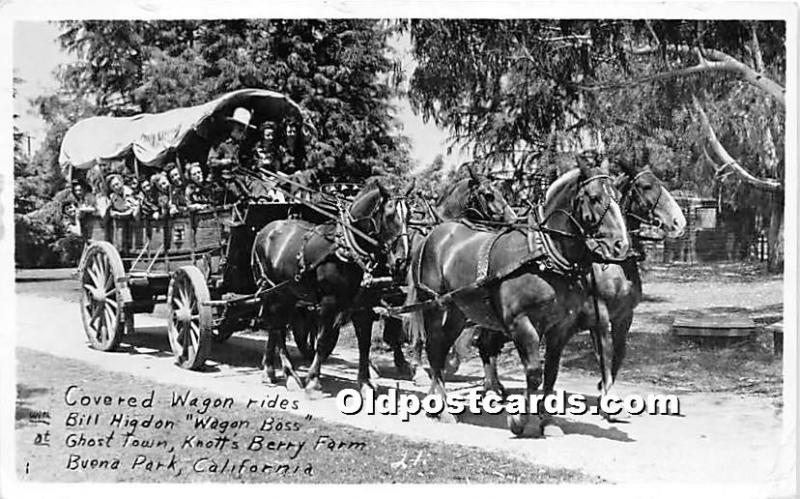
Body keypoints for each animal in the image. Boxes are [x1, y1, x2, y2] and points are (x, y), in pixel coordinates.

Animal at [252, 179, 416, 394]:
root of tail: (264, 231)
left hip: (287, 294)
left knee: (275, 327)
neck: (349, 249)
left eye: (409, 216)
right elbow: (323, 341)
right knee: (277, 329)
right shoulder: (328, 303)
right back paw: (290, 375)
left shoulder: (363, 307)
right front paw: (313, 380)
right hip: (272, 291)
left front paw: (365, 382)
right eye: (389, 216)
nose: (401, 261)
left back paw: (270, 370)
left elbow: (364, 343)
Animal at [476, 147, 688, 422]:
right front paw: (607, 400)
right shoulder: (601, 317)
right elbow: (605, 354)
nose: (679, 222)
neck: (612, 265)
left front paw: (604, 392)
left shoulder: (623, 318)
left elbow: (618, 355)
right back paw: (493, 389)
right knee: (484, 344)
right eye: (645, 186)